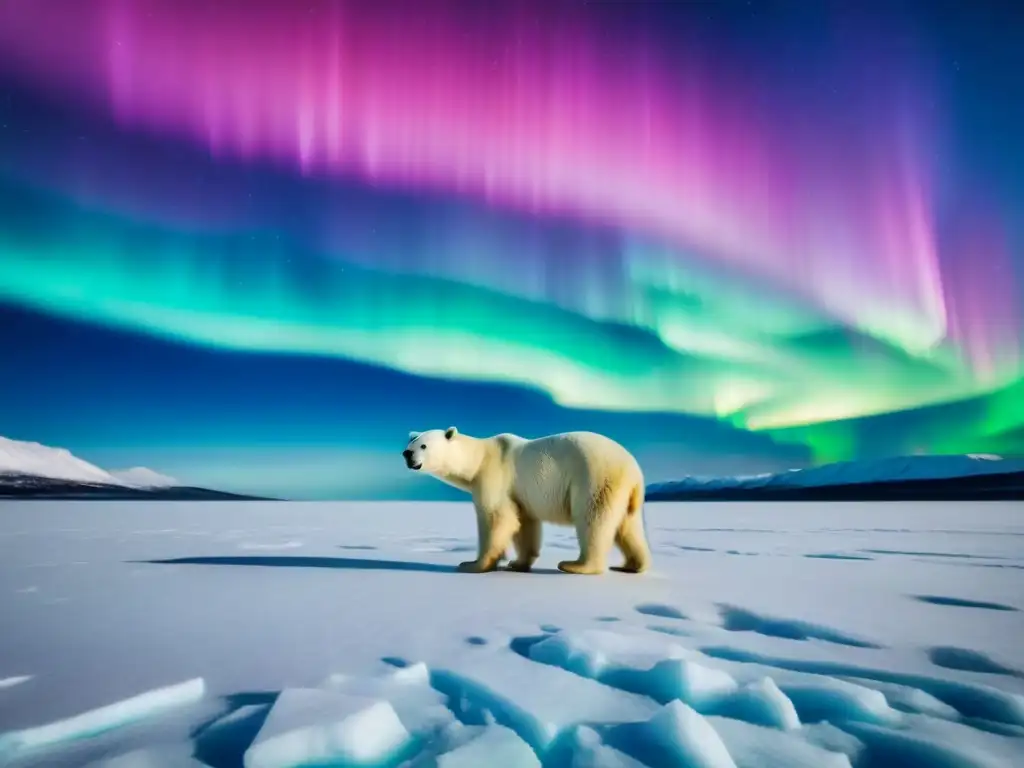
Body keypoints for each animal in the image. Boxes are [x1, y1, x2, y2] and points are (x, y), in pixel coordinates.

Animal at [399, 430, 647, 573]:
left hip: (595, 477)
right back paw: (632, 565)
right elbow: (524, 523)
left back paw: (576, 565)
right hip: (623, 492)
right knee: (628, 526)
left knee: (593, 520)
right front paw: (517, 564)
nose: (407, 454)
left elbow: (497, 518)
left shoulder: (494, 476)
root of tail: (635, 470)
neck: (480, 457)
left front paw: (473, 564)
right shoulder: (519, 493)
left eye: (423, 446)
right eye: (410, 443)